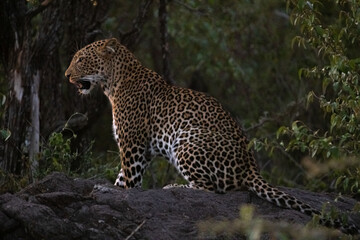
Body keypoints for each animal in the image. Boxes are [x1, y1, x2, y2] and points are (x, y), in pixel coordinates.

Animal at [65, 38, 360, 234]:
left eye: (80, 59)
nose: (67, 75)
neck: (112, 84)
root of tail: (251, 168)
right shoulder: (142, 150)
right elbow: (121, 179)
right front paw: (112, 189)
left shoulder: (133, 146)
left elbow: (130, 182)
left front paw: (122, 192)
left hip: (186, 142)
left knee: (213, 189)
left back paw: (174, 187)